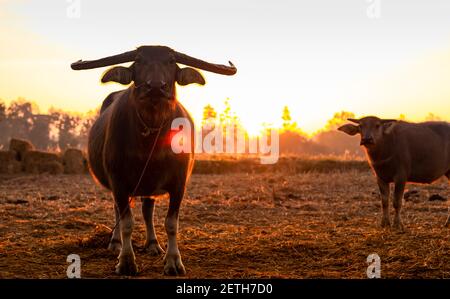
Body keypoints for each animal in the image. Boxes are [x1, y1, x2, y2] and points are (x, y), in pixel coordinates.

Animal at [70, 46, 236, 276]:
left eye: (171, 61)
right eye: (139, 60)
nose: (156, 86)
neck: (151, 139)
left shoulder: (178, 184)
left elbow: (171, 223)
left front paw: (173, 261)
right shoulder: (119, 182)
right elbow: (127, 223)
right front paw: (126, 261)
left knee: (148, 211)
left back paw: (152, 244)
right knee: (118, 211)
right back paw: (115, 243)